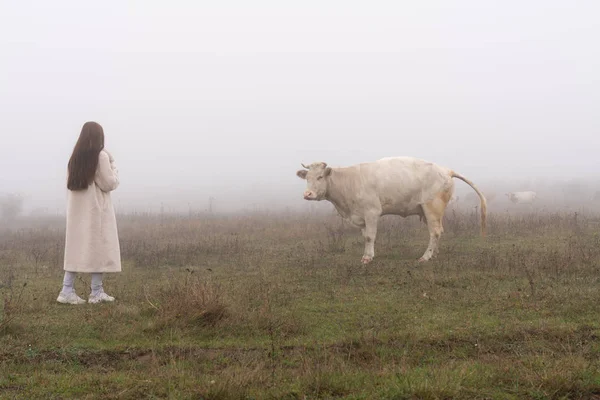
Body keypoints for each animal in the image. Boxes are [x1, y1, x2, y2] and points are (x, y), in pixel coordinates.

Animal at [296, 158, 488, 264]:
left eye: (320, 177)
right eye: (307, 178)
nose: (308, 194)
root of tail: (446, 170)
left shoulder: (372, 212)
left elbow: (370, 236)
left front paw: (367, 258)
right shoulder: (360, 216)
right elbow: (365, 236)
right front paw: (369, 254)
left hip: (431, 207)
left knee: (435, 232)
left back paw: (425, 257)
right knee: (439, 231)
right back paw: (434, 254)